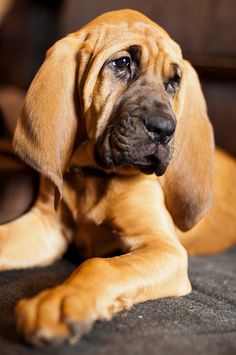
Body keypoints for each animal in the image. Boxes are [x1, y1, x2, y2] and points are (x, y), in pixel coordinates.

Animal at [0, 9, 236, 348]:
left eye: (173, 82)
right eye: (122, 63)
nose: (165, 129)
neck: (94, 175)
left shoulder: (164, 248)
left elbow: (100, 266)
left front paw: (62, 301)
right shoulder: (47, 228)